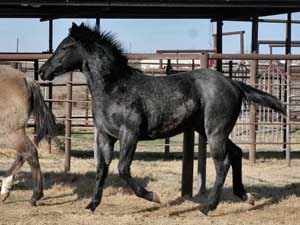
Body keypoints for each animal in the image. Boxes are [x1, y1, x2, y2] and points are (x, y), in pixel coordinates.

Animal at [38, 22, 284, 214]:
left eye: (65, 46)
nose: (42, 72)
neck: (115, 87)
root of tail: (234, 84)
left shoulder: (130, 134)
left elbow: (123, 168)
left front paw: (152, 196)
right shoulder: (106, 136)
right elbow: (102, 169)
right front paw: (92, 205)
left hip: (215, 131)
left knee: (222, 163)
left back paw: (207, 207)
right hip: (208, 130)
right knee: (236, 153)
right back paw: (246, 196)